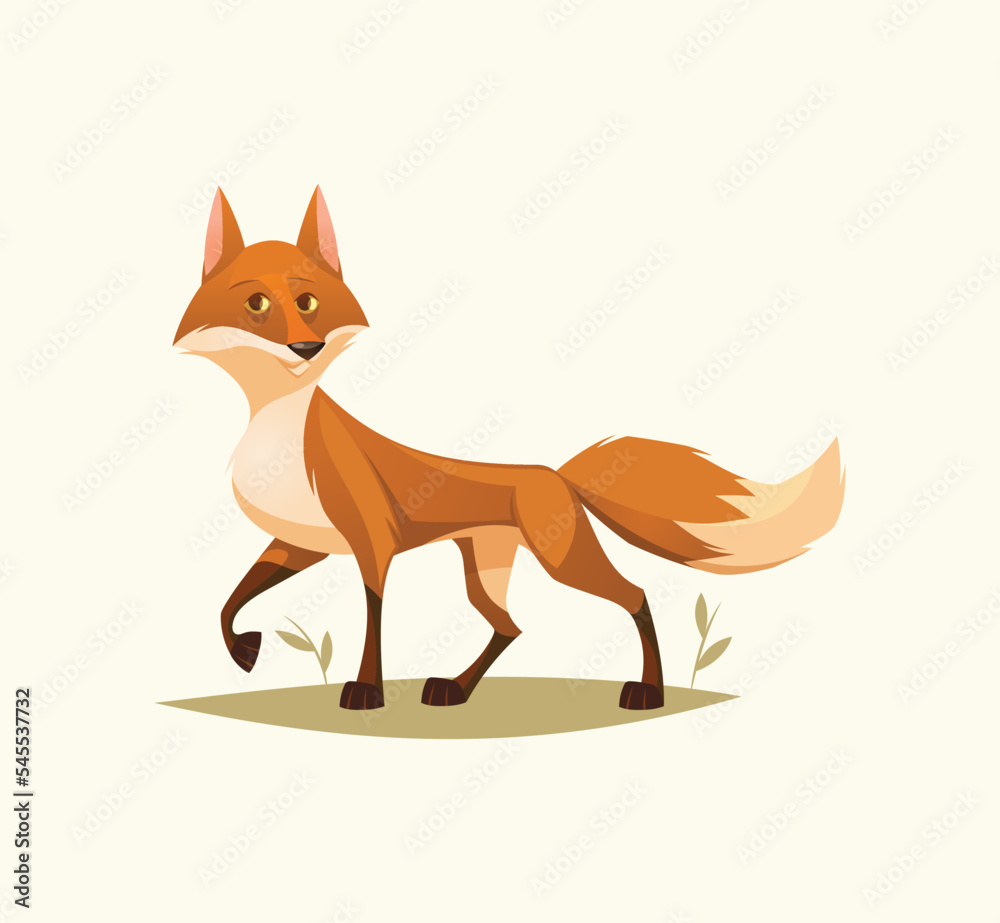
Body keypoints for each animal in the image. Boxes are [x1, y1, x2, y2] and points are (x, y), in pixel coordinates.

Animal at [174, 187, 845, 712]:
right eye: (256, 304)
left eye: (309, 302)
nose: (305, 348)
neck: (279, 437)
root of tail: (556, 474)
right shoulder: (300, 543)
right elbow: (229, 602)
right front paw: (245, 651)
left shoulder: (372, 543)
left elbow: (371, 619)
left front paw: (365, 691)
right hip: (485, 571)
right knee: (511, 626)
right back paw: (454, 690)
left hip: (562, 558)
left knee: (633, 595)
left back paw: (647, 691)